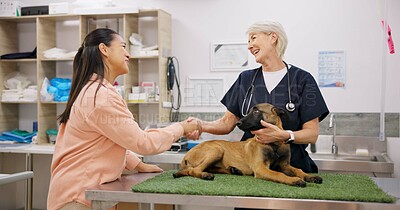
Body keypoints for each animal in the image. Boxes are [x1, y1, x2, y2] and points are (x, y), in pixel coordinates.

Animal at [173, 103, 324, 187]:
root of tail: (185, 156)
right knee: (194, 170)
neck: (273, 144)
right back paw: (205, 175)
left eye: (256, 111)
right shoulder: (261, 168)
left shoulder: (285, 165)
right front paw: (295, 180)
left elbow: (299, 170)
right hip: (217, 149)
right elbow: (279, 174)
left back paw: (234, 170)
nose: (238, 123)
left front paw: (310, 176)